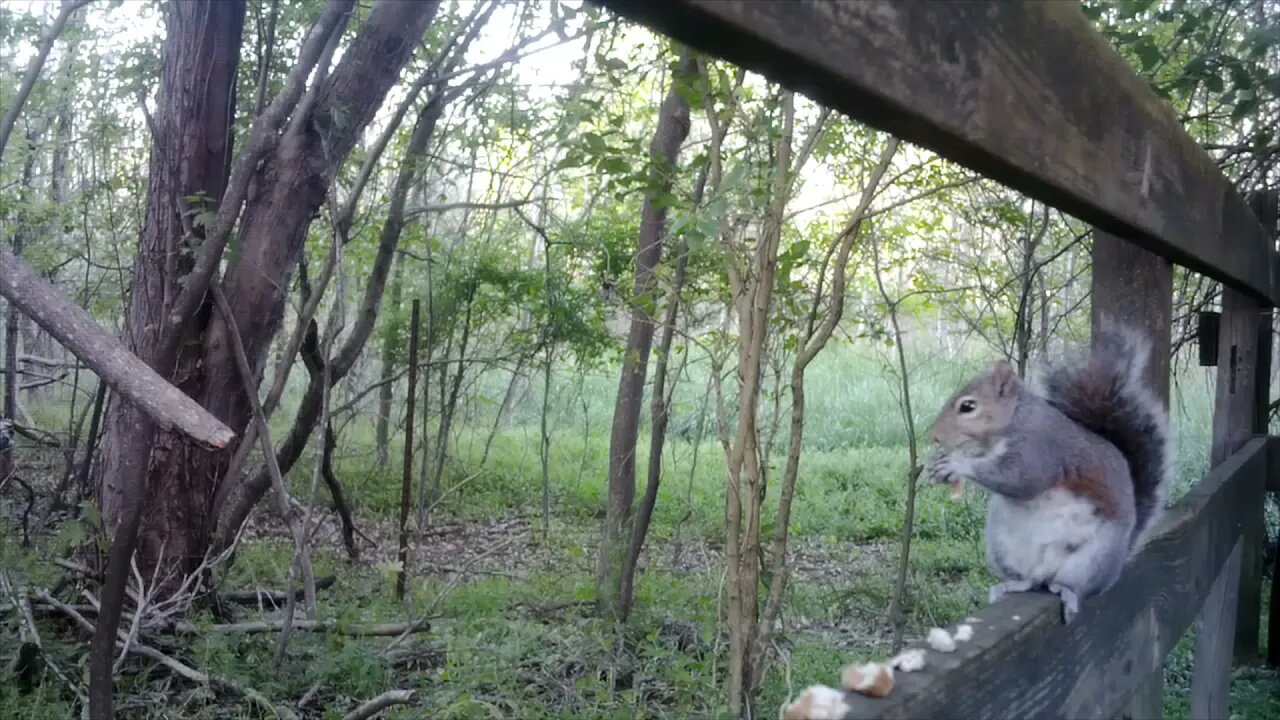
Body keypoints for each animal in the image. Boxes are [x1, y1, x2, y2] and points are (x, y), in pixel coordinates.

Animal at [923, 318, 1173, 623]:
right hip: (1002, 544)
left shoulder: (1041, 449)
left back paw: (1068, 593)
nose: (934, 437)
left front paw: (957, 465)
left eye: (968, 406)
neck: (1016, 420)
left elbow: (1020, 478)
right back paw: (1011, 586)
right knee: (1030, 580)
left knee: (1071, 584)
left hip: (1093, 558)